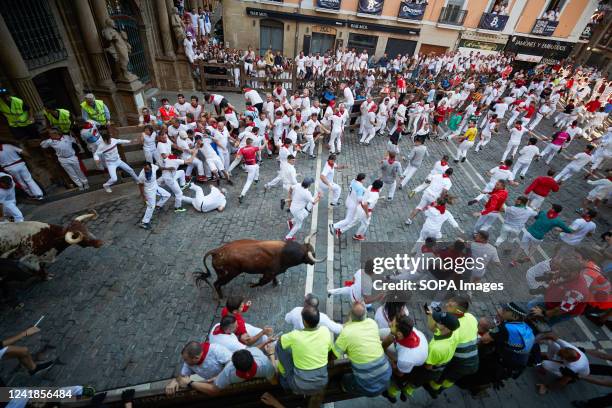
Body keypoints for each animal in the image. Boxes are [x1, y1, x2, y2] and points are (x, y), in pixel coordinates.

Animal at [195, 234, 326, 298]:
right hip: (228, 275)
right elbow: (261, 282)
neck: (285, 252)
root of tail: (216, 251)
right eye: (312, 254)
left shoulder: (273, 273)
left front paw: (276, 283)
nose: (313, 262)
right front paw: (251, 285)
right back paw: (221, 297)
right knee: (216, 284)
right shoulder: (268, 274)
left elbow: (272, 279)